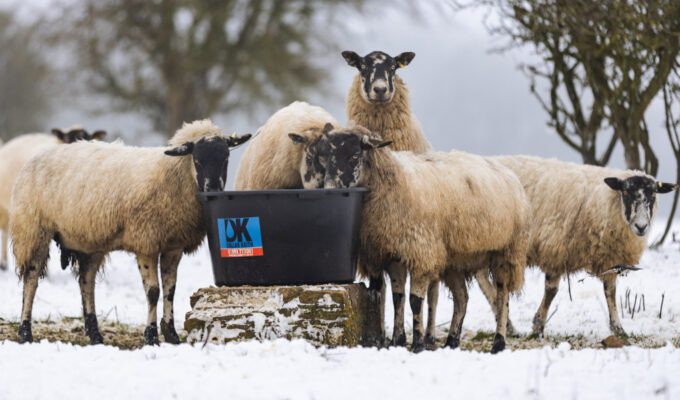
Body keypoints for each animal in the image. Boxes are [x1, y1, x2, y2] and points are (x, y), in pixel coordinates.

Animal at [292, 126, 532, 354]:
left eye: (354, 156)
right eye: (326, 158)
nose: (330, 189)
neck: (394, 183)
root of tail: (507, 172)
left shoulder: (420, 252)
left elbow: (415, 301)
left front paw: (417, 344)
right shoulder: (393, 255)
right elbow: (397, 298)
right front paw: (397, 341)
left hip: (507, 252)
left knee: (502, 296)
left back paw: (498, 342)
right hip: (454, 259)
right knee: (462, 298)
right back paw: (452, 341)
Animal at [476, 156, 676, 338]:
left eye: (653, 194)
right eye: (626, 192)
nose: (641, 227)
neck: (601, 203)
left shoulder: (610, 258)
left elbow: (610, 292)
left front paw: (619, 329)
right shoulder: (555, 248)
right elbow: (551, 291)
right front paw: (538, 327)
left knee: (482, 276)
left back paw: (504, 319)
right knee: (483, 278)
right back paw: (506, 321)